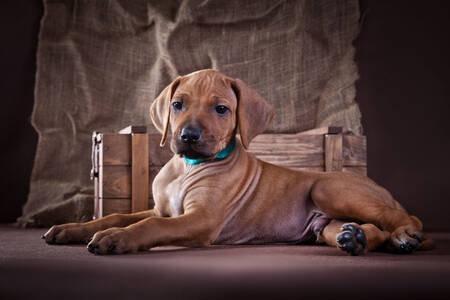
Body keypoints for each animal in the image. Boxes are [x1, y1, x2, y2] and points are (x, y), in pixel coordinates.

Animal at [44, 69, 434, 254]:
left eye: (221, 109)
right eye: (177, 104)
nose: (188, 136)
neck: (189, 166)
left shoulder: (201, 219)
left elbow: (147, 226)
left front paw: (117, 239)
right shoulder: (162, 209)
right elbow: (116, 215)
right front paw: (72, 229)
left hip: (328, 189)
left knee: (403, 219)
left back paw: (405, 236)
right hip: (325, 224)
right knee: (364, 231)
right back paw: (356, 239)